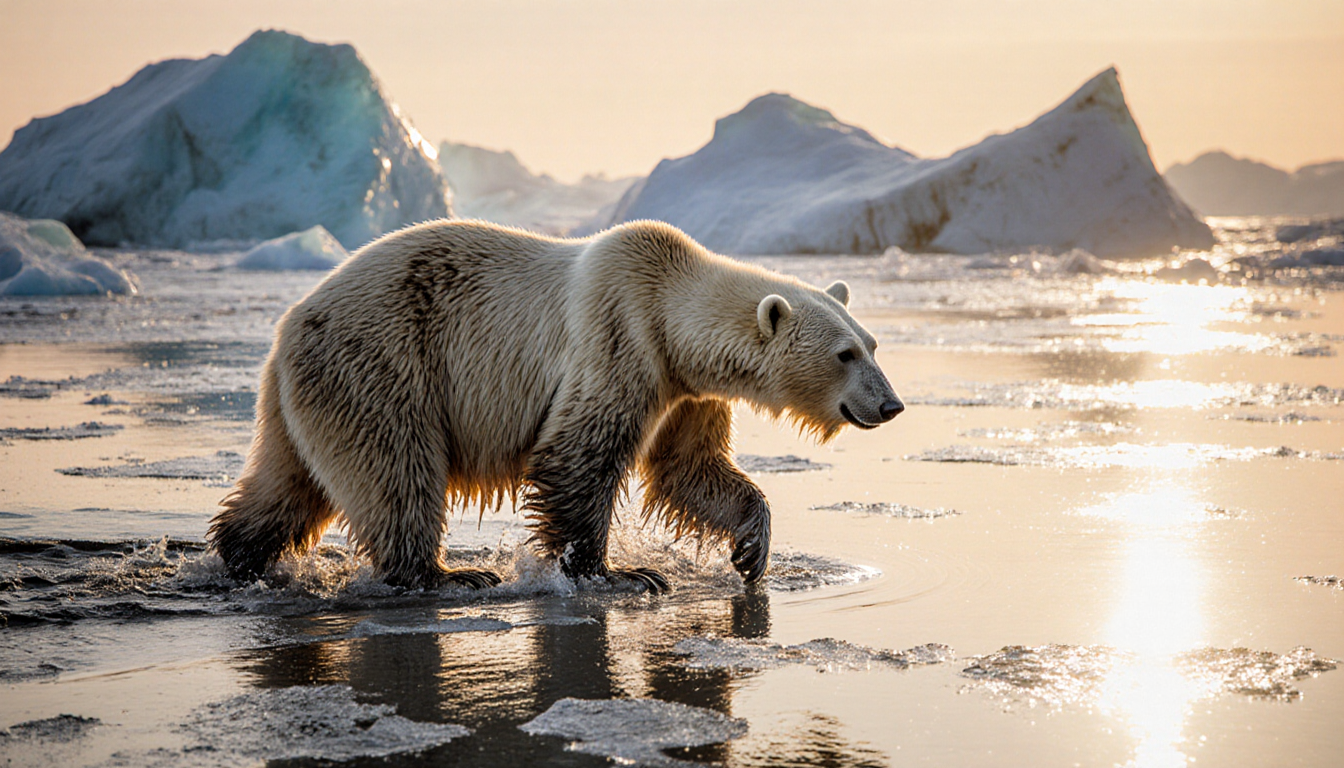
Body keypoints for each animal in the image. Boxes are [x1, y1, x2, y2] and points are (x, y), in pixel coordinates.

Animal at [208, 219, 903, 592]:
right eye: (845, 353)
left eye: (872, 343)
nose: (892, 404)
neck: (670, 312)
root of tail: (287, 325)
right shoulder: (620, 338)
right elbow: (578, 457)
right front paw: (621, 573)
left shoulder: (684, 390)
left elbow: (689, 469)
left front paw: (752, 550)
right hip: (384, 360)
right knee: (394, 469)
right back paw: (446, 573)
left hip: (309, 394)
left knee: (287, 483)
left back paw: (239, 556)